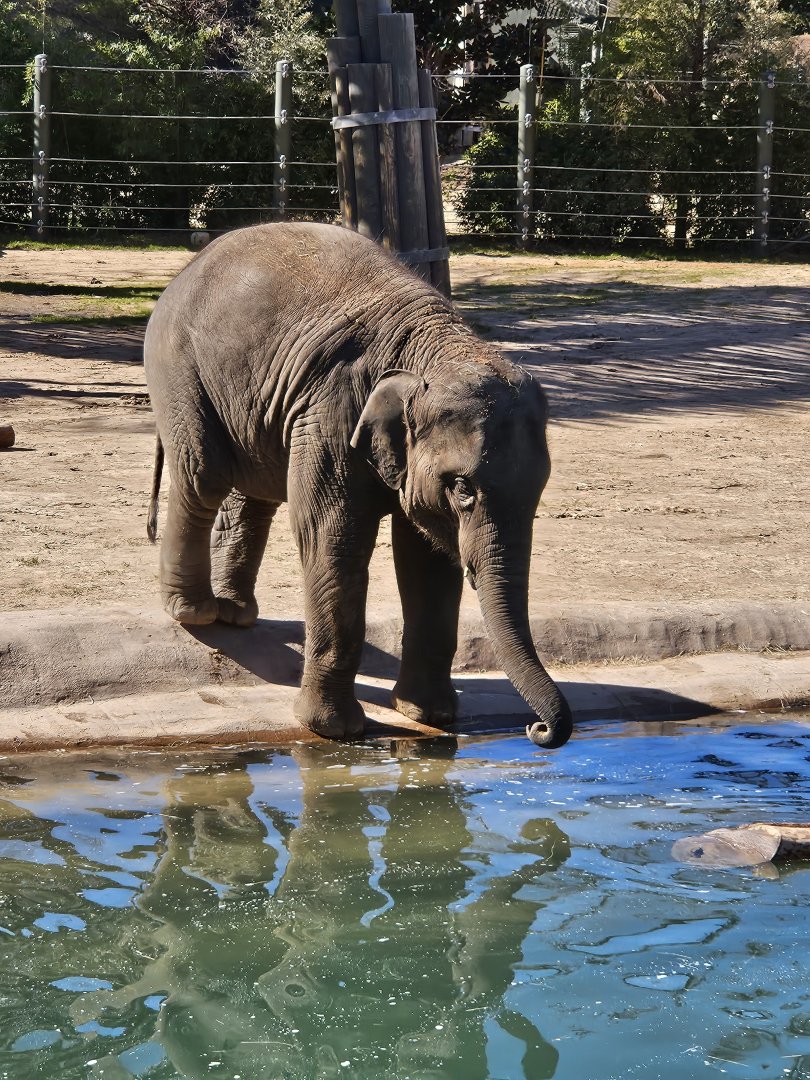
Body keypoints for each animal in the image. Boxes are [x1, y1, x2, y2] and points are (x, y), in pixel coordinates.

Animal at [144, 222, 572, 749]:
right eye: (462, 488)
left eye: (539, 490)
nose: (537, 728)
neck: (435, 345)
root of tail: (186, 270)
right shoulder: (331, 413)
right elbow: (333, 536)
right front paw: (334, 730)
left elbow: (427, 557)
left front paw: (428, 714)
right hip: (180, 372)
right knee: (203, 476)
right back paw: (195, 614)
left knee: (254, 492)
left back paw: (235, 614)